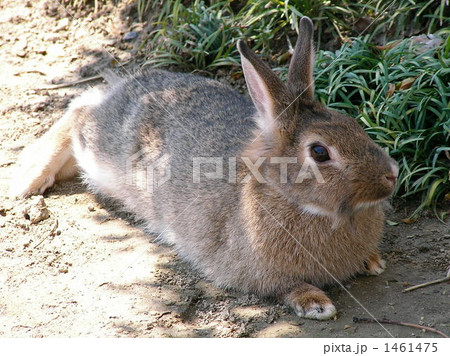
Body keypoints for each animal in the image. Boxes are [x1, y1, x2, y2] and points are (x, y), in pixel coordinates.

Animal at [10, 17, 398, 320]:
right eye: (319, 152)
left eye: (354, 124)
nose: (391, 176)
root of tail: (125, 87)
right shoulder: (254, 273)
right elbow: (287, 287)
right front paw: (316, 304)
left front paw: (372, 261)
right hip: (102, 151)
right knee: (79, 107)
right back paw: (28, 178)